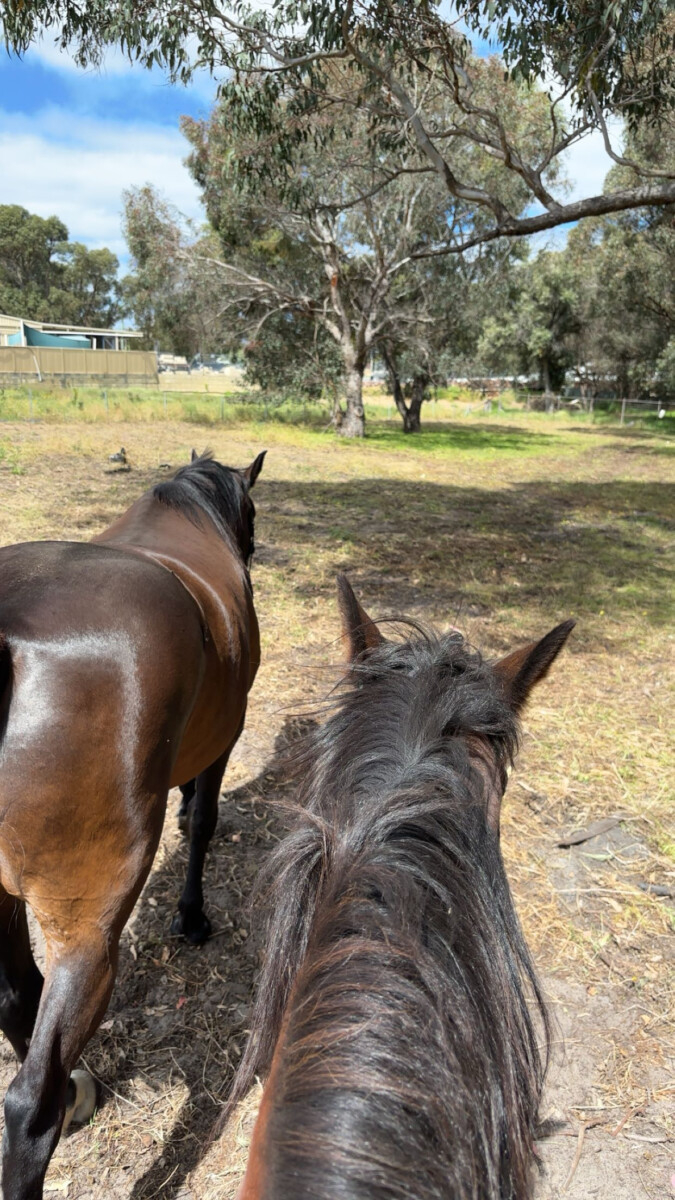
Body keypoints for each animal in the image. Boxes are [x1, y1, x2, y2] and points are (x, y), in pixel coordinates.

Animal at [0, 447, 265, 1200]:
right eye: (252, 513)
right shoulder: (225, 736)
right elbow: (202, 821)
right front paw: (193, 916)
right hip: (87, 929)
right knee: (28, 1102)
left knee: (15, 997)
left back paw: (78, 1091)